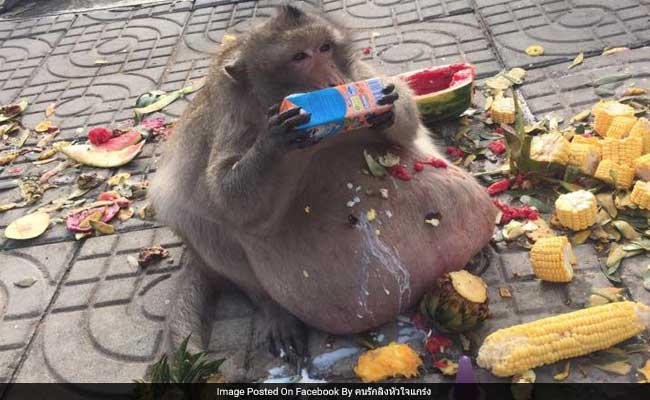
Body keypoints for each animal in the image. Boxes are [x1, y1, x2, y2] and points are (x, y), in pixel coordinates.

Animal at [149, 5, 494, 362]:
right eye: (299, 56)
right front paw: (276, 139)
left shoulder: (356, 71)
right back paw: (274, 310)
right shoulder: (231, 117)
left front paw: (385, 105)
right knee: (190, 216)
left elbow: (408, 124)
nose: (333, 79)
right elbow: (227, 198)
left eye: (325, 47)